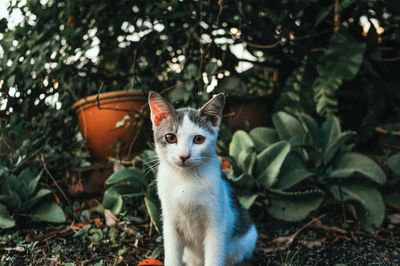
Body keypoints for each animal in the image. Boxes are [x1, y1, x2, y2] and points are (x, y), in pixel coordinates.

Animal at [148, 92, 258, 266]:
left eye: (199, 139)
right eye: (170, 137)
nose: (184, 156)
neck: (186, 179)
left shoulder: (217, 224)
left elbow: (214, 256)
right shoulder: (170, 222)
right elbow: (172, 255)